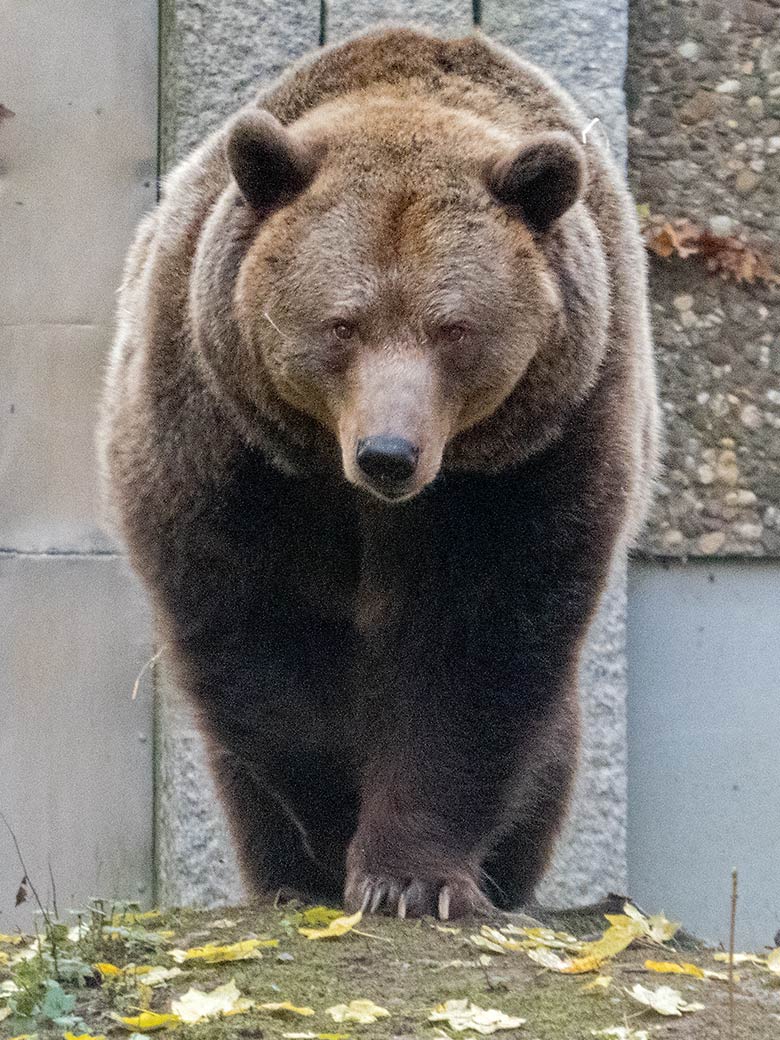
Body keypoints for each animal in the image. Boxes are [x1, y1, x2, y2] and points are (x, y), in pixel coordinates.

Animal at [97, 24, 661, 919]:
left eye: (454, 328)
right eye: (342, 323)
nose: (389, 453)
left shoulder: (533, 455)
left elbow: (474, 647)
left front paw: (412, 878)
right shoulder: (230, 442)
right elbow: (266, 634)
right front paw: (333, 842)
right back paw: (283, 876)